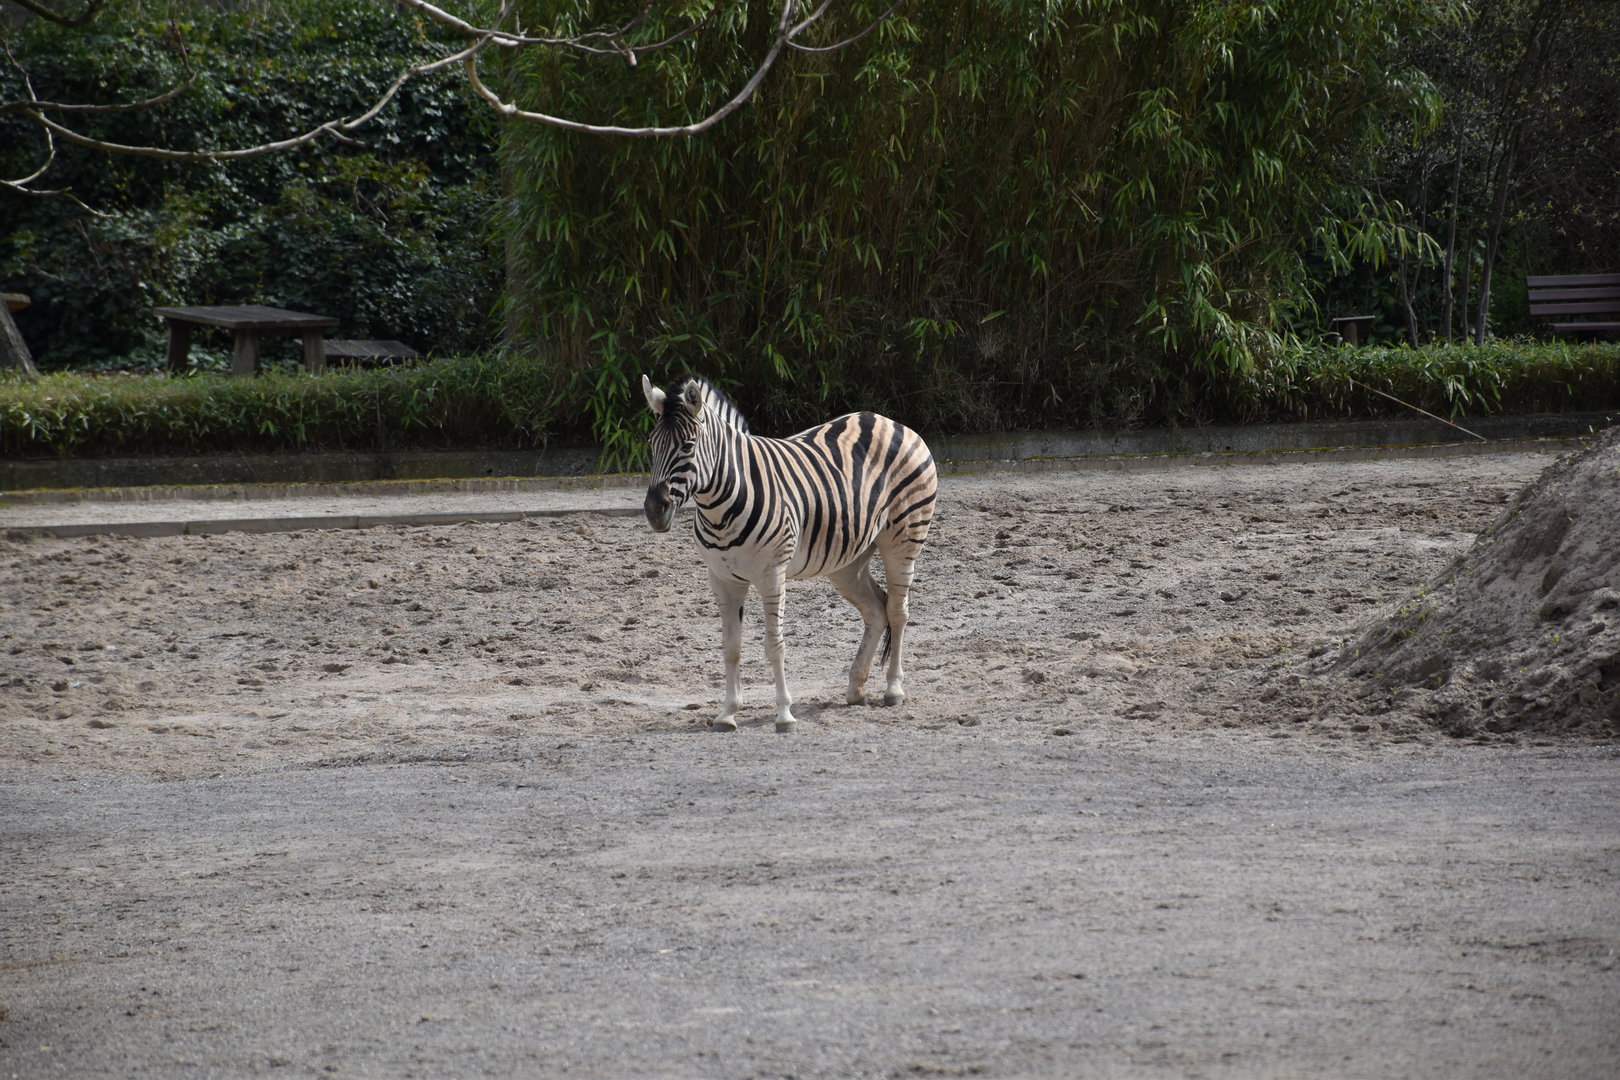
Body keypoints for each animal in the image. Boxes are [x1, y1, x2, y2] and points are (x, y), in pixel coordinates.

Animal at [640, 373, 937, 733]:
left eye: (687, 446)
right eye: (652, 446)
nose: (654, 511)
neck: (721, 505)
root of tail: (885, 420)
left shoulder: (771, 574)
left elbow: (774, 645)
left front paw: (784, 714)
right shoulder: (722, 578)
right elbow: (731, 647)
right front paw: (727, 713)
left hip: (903, 539)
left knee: (897, 611)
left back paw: (893, 690)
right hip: (847, 561)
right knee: (876, 612)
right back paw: (856, 689)